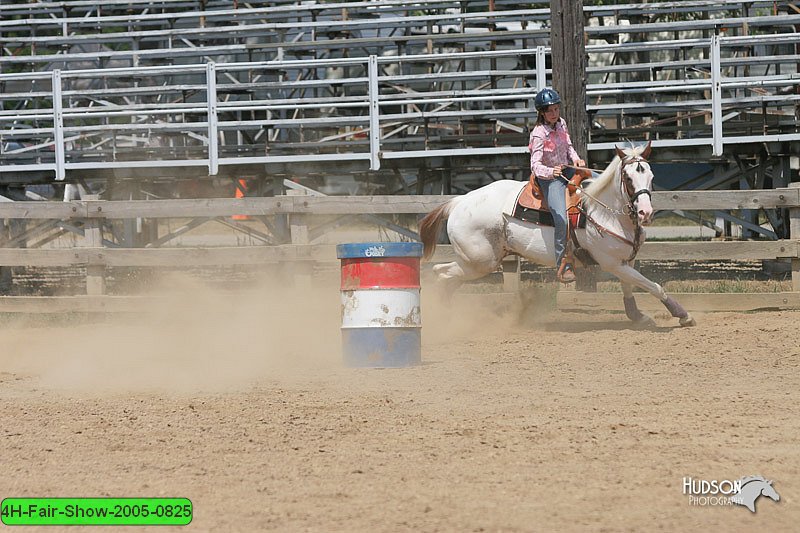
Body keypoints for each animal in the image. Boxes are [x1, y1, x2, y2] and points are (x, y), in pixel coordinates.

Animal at [422, 139, 696, 326]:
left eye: (650, 175)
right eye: (628, 178)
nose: (645, 213)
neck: (603, 210)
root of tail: (458, 202)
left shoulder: (624, 261)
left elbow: (630, 287)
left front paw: (637, 316)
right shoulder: (611, 263)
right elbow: (652, 286)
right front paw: (682, 315)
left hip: (476, 262)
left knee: (445, 276)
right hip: (480, 262)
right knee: (442, 274)